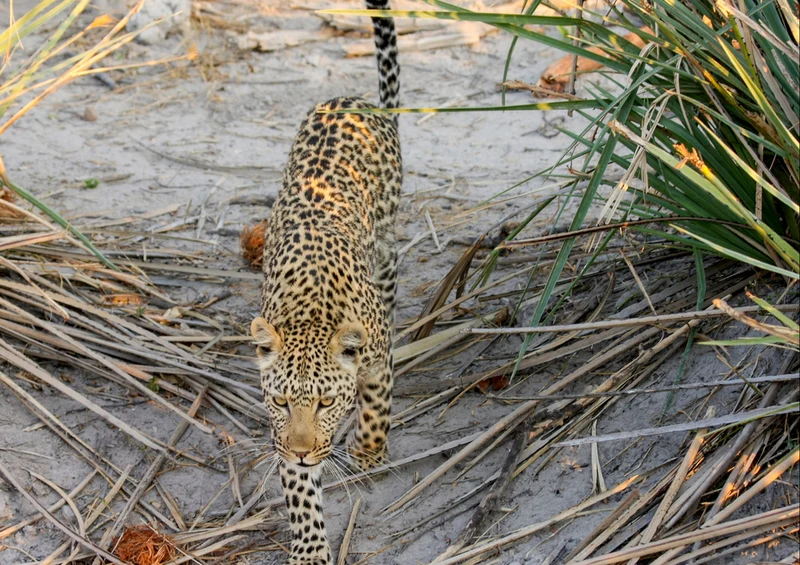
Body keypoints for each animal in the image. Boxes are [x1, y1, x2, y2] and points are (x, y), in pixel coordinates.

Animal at [249, 1, 401, 563]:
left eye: (327, 402)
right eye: (280, 402)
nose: (303, 450)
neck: (314, 310)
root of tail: (352, 99)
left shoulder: (376, 359)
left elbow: (377, 403)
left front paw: (368, 452)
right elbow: (298, 491)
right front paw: (311, 545)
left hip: (386, 237)